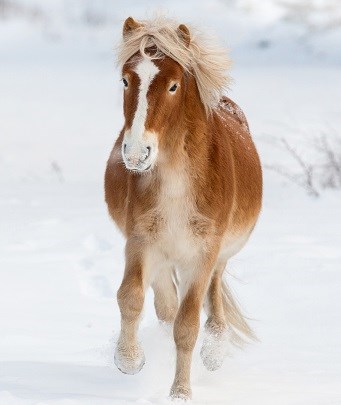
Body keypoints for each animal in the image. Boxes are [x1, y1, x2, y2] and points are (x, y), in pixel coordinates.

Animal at [105, 16, 262, 400]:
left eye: (174, 86)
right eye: (126, 80)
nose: (136, 154)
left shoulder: (203, 253)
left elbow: (188, 325)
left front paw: (180, 392)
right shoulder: (140, 239)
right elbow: (130, 297)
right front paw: (129, 359)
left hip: (216, 256)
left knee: (212, 302)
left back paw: (215, 352)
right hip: (163, 252)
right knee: (164, 304)